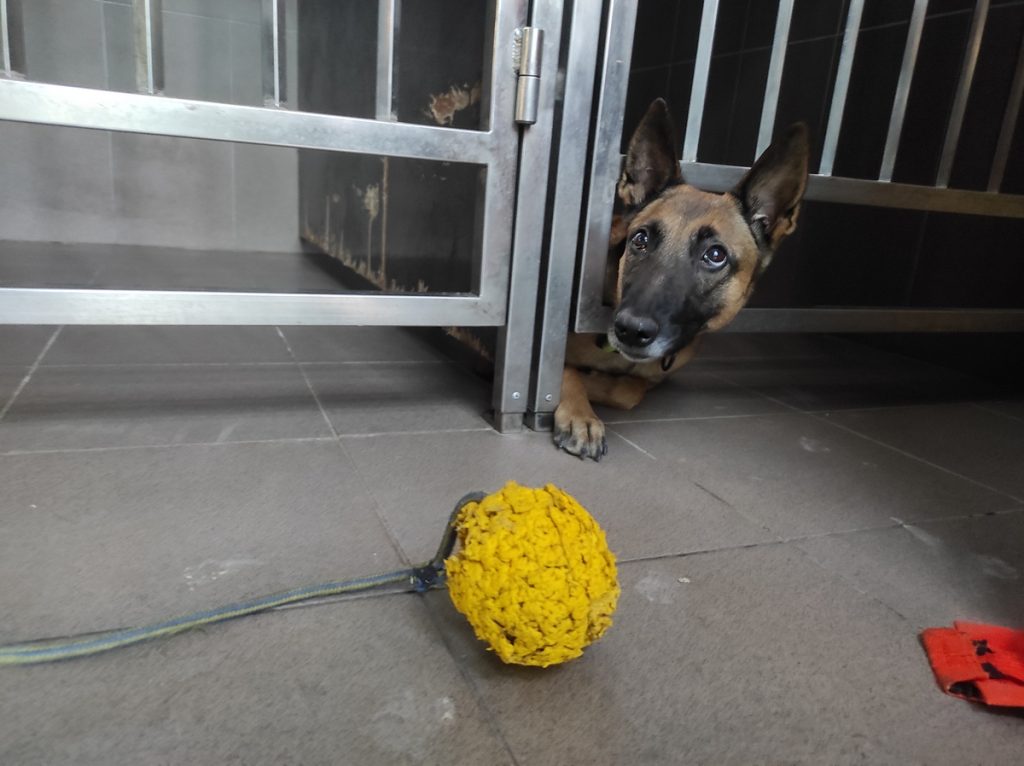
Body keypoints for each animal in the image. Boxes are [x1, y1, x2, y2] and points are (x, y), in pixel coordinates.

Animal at [554, 98, 810, 460]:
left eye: (715, 255)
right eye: (641, 239)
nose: (630, 330)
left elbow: (628, 390)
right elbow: (565, 370)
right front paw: (580, 413)